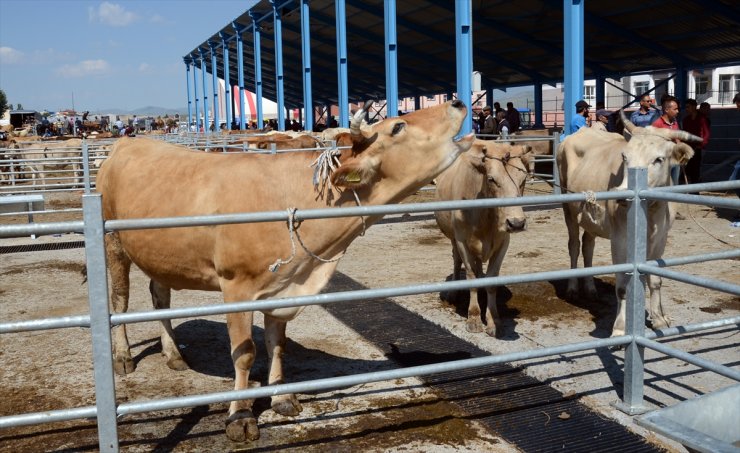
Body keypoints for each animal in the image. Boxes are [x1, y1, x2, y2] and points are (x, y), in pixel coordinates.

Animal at [97, 100, 474, 442]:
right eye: (398, 127)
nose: (457, 101)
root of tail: (127, 143)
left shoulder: (283, 287)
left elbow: (276, 345)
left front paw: (281, 397)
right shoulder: (237, 287)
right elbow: (244, 354)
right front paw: (240, 416)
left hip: (160, 254)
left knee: (159, 296)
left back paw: (174, 354)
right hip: (113, 244)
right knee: (119, 300)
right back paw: (122, 358)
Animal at [556, 118, 700, 338]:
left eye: (659, 159)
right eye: (625, 157)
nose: (622, 195)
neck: (651, 213)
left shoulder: (661, 238)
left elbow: (655, 280)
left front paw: (659, 319)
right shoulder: (619, 239)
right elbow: (623, 285)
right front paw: (620, 327)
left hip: (590, 219)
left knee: (588, 246)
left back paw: (590, 288)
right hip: (568, 210)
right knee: (574, 246)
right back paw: (572, 288)